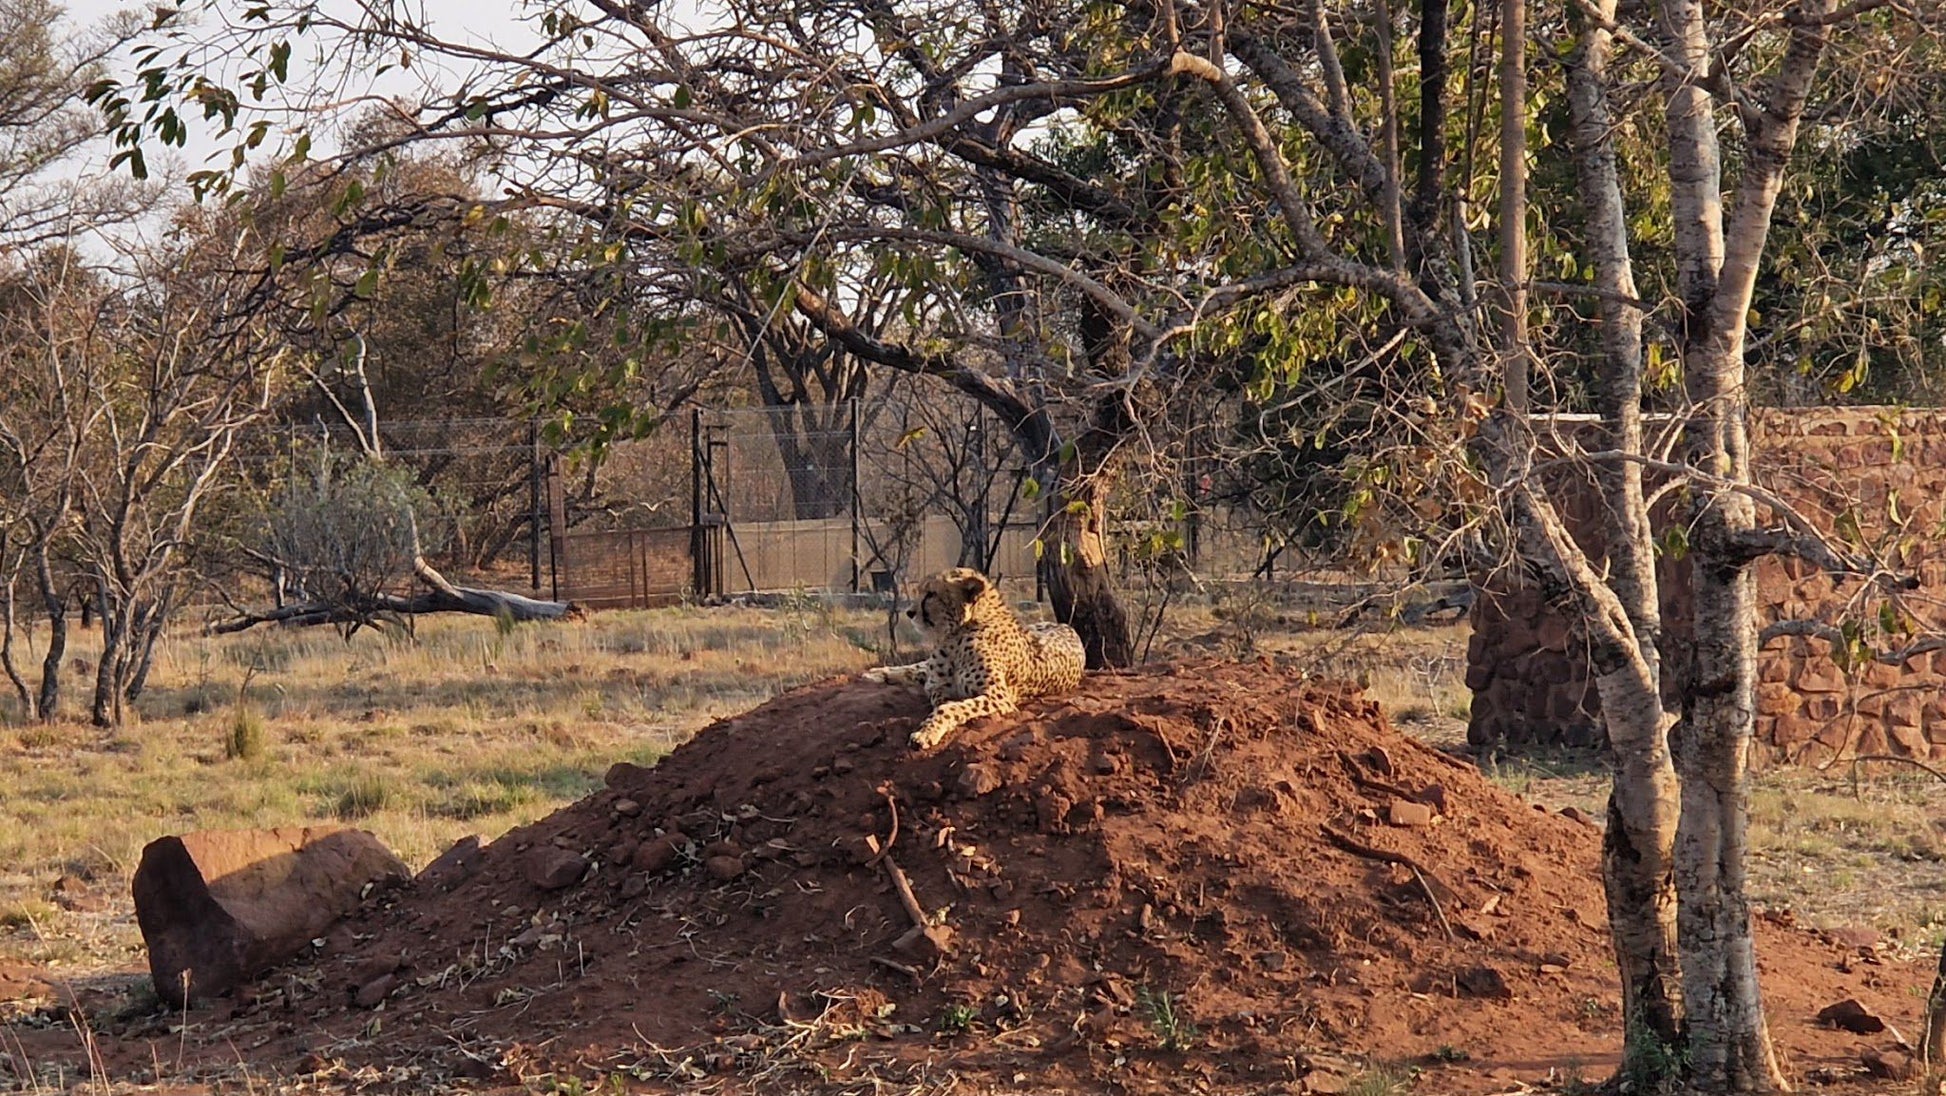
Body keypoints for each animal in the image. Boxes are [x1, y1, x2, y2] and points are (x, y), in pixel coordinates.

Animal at [864, 572, 1089, 751]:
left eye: (931, 594)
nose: (910, 613)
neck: (958, 632)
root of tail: (1065, 625)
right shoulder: (938, 684)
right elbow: (939, 696)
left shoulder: (999, 697)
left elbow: (949, 707)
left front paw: (927, 732)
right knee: (918, 667)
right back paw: (875, 674)